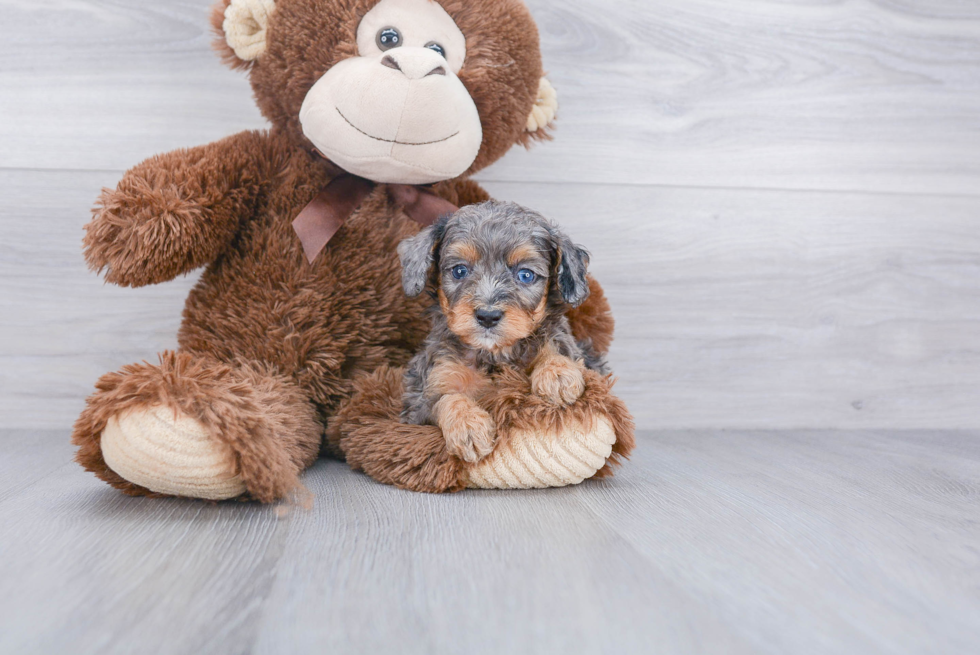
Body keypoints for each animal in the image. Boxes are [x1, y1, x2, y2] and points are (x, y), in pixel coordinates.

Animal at [398, 202, 604, 464]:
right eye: (459, 271)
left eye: (525, 275)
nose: (488, 316)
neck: (494, 354)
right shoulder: (422, 397)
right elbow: (446, 398)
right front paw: (468, 426)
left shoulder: (565, 343)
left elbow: (554, 348)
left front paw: (557, 374)